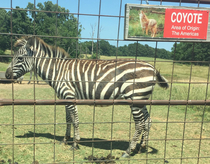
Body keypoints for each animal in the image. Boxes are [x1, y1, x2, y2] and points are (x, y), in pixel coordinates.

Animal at [5, 36, 169, 158]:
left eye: (19, 58)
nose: (6, 75)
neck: (58, 71)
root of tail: (153, 67)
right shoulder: (66, 97)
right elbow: (68, 120)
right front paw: (65, 140)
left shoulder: (69, 96)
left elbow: (75, 121)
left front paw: (75, 143)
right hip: (142, 99)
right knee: (148, 121)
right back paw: (142, 147)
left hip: (135, 98)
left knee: (140, 124)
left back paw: (129, 151)